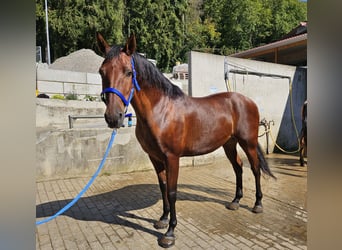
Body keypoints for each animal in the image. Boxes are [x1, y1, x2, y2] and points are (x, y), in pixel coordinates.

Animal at [95, 33, 276, 248]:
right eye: (101, 72)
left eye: (129, 72)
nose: (113, 117)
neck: (161, 110)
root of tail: (248, 101)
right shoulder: (155, 158)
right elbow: (163, 188)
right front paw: (162, 219)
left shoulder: (172, 158)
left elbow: (172, 192)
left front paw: (170, 233)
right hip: (229, 144)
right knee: (238, 167)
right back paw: (235, 202)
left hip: (247, 143)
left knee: (255, 168)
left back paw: (257, 204)